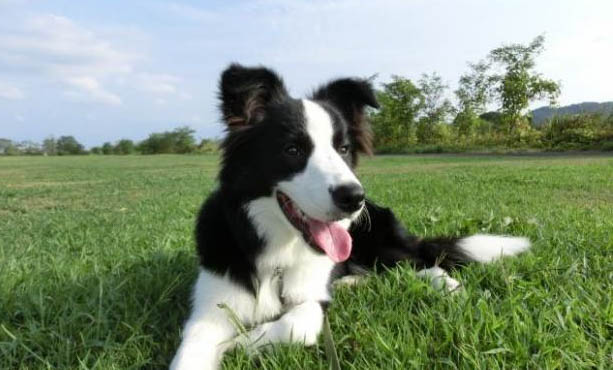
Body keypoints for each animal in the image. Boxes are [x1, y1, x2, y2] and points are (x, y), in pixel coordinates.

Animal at [170, 65, 528, 368]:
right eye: (292, 150)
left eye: (342, 149)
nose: (354, 198)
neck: (278, 255)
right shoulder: (209, 308)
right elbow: (193, 350)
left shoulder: (313, 299)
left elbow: (297, 323)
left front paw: (237, 345)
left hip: (378, 243)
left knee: (421, 262)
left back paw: (450, 286)